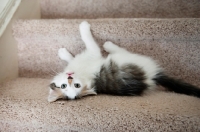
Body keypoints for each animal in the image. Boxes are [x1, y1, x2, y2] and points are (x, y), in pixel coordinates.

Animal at [47, 21, 199, 102]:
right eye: (65, 86)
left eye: (76, 85)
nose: (69, 76)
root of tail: (153, 77)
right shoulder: (92, 55)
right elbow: (86, 44)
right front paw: (83, 28)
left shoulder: (87, 58)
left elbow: (75, 54)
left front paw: (63, 52)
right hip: (130, 60)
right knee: (123, 51)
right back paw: (109, 45)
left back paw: (108, 45)